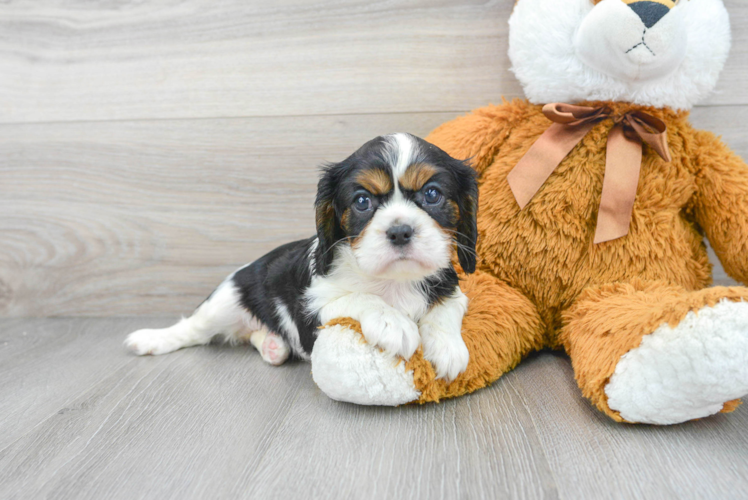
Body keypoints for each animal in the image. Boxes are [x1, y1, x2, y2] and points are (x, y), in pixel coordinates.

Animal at [127, 132, 480, 378]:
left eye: (432, 194)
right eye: (362, 201)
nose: (400, 231)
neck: (393, 281)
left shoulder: (452, 289)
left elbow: (446, 307)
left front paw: (448, 347)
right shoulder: (312, 310)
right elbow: (358, 298)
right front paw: (391, 322)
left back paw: (272, 345)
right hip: (225, 301)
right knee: (192, 329)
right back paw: (150, 339)